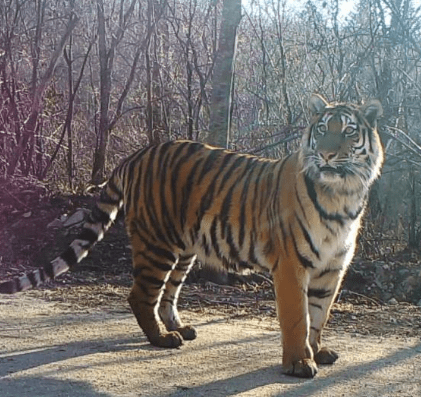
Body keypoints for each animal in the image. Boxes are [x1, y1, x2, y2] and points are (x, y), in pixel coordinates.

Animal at [0, 93, 384, 378]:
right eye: (322, 130)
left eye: (348, 132)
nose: (327, 154)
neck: (342, 195)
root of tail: (135, 155)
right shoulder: (291, 265)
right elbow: (297, 318)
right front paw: (299, 363)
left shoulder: (332, 268)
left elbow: (319, 315)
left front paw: (317, 352)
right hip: (156, 244)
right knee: (141, 295)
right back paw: (162, 338)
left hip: (183, 249)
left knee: (167, 295)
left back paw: (181, 329)